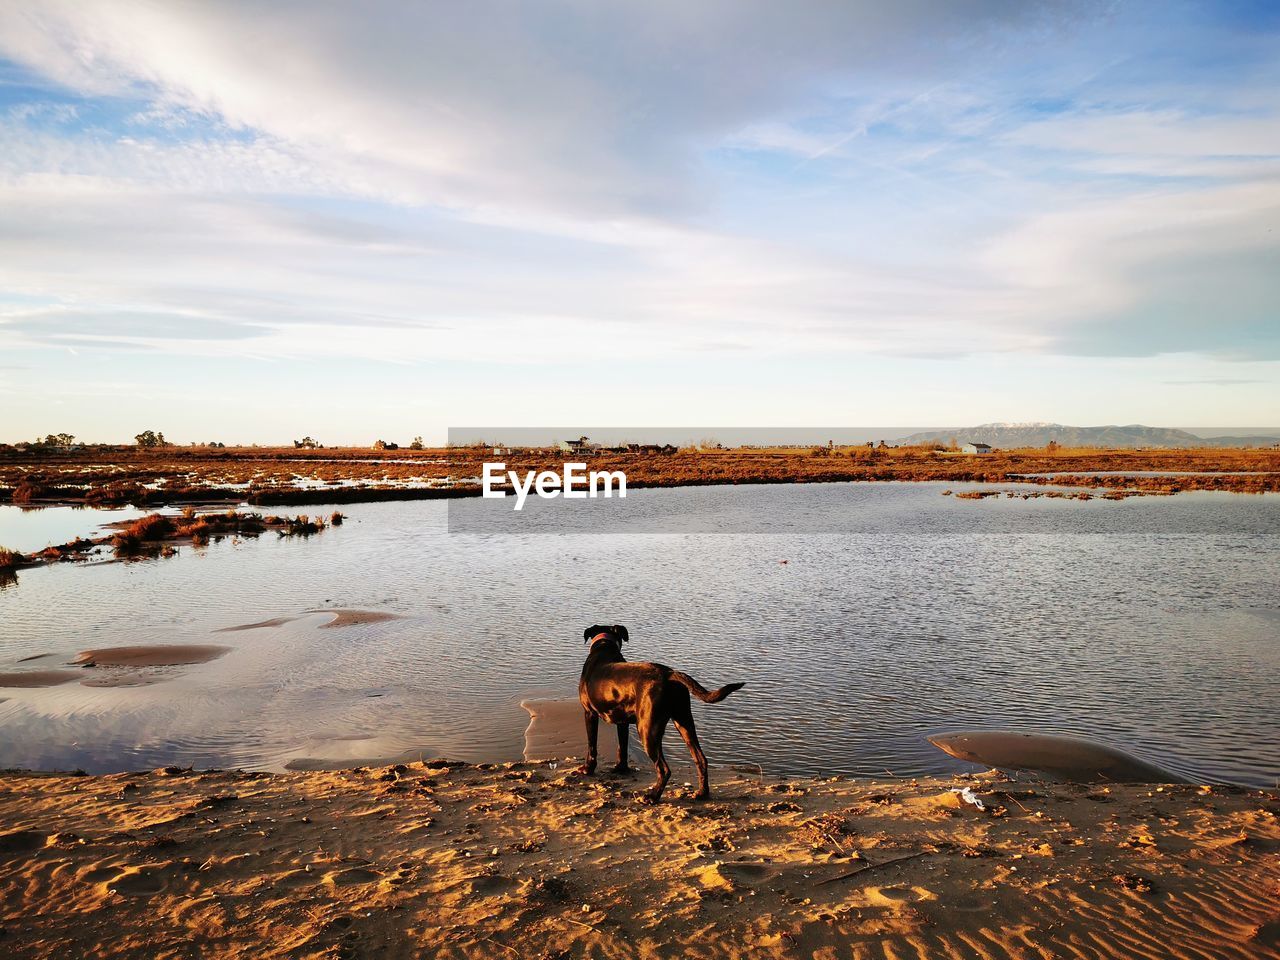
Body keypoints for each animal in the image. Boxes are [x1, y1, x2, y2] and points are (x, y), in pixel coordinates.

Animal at [578, 624, 747, 803]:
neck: (604, 647)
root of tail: (670, 674)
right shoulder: (622, 722)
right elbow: (622, 748)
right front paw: (620, 768)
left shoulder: (589, 713)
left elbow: (592, 745)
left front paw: (587, 769)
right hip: (684, 721)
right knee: (701, 759)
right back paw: (702, 793)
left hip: (647, 730)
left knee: (664, 769)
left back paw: (652, 796)